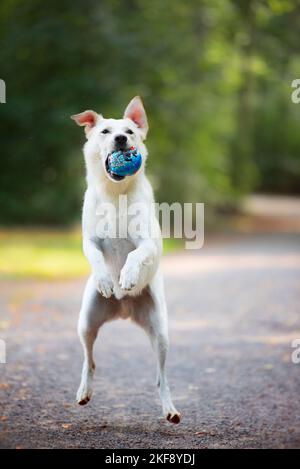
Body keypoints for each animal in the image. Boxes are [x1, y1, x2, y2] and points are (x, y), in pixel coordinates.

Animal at [72, 97, 180, 422]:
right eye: (105, 131)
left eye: (130, 131)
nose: (121, 139)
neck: (115, 192)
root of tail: (123, 308)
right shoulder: (89, 241)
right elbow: (96, 255)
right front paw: (107, 279)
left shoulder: (148, 243)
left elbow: (135, 253)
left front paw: (128, 276)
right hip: (86, 322)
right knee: (90, 361)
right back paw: (84, 392)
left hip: (161, 333)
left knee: (160, 377)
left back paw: (170, 410)